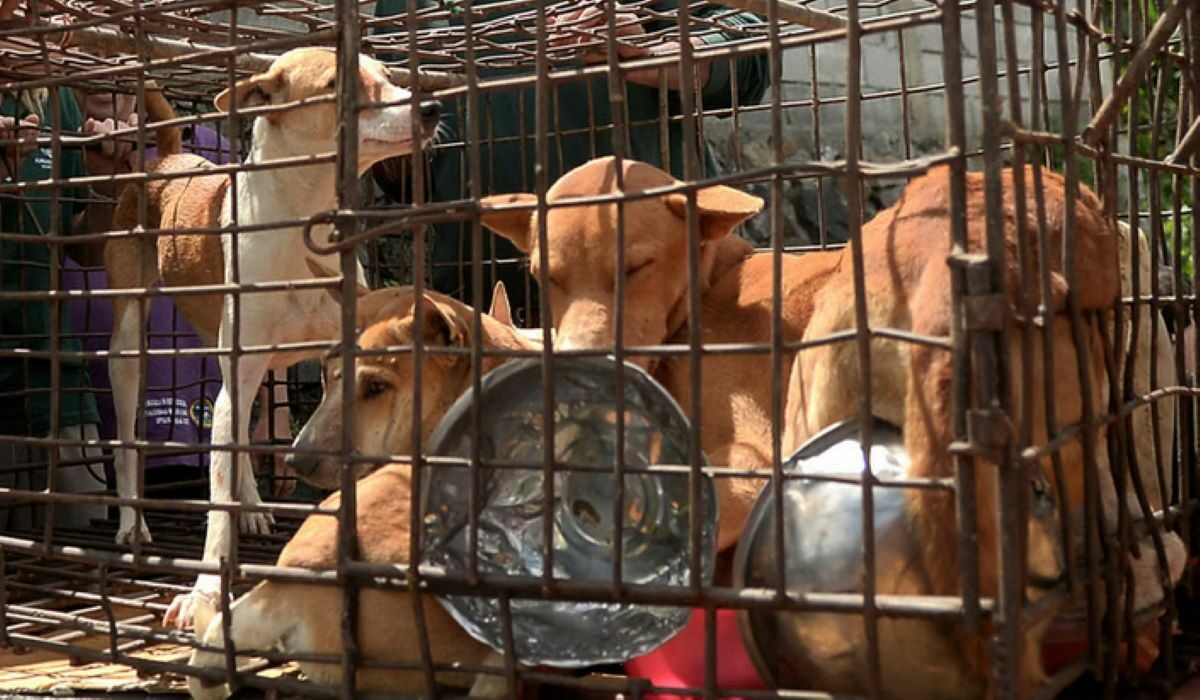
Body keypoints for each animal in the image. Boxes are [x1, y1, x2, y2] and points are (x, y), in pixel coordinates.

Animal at [103, 46, 441, 630]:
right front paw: (204, 595)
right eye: (337, 84)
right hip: (130, 348)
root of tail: (168, 159)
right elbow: (215, 497)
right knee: (130, 437)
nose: (432, 108)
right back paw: (132, 523)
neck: (302, 222)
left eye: (388, 75)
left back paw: (256, 509)